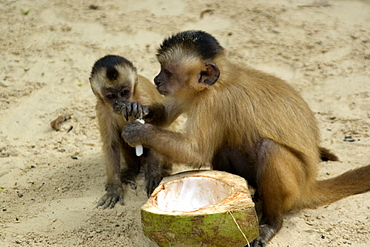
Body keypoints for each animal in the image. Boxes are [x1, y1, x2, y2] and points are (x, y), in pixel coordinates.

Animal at [89, 55, 172, 209]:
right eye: (111, 96)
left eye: (124, 92)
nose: (120, 103)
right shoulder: (102, 110)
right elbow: (111, 144)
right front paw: (115, 188)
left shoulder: (144, 99)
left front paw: (153, 175)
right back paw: (131, 170)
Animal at [115, 31, 370, 246]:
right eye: (161, 69)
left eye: (167, 72)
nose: (157, 80)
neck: (222, 80)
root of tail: (308, 185)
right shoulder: (191, 94)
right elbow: (167, 116)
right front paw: (136, 108)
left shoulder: (213, 102)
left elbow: (195, 152)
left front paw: (138, 133)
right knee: (225, 148)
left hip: (294, 188)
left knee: (269, 149)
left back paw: (272, 222)